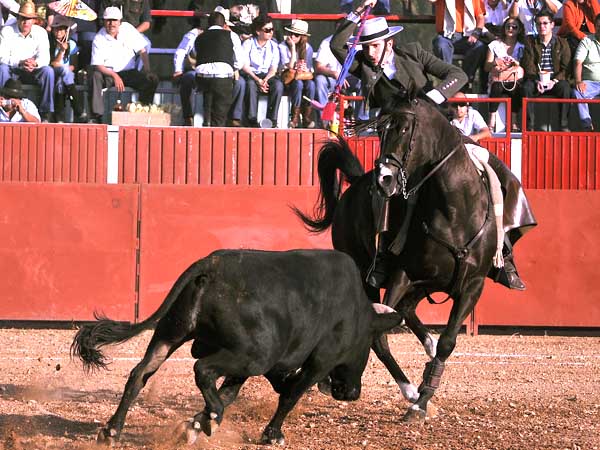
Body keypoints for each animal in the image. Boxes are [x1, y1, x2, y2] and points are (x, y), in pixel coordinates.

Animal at [74, 250, 404, 446]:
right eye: (368, 347)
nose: (352, 393)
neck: (357, 311)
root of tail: (211, 265)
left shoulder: (254, 363)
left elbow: (233, 392)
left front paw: (193, 424)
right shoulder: (318, 361)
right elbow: (290, 395)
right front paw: (272, 435)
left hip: (171, 335)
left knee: (139, 374)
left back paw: (112, 430)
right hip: (253, 355)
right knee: (202, 369)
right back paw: (214, 418)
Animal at [296, 96, 536, 422]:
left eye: (404, 129)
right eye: (381, 129)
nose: (384, 179)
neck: (455, 209)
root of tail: (357, 183)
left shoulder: (472, 286)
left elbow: (448, 340)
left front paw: (424, 395)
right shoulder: (404, 275)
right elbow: (380, 334)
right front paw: (415, 397)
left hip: (428, 283)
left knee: (409, 311)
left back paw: (427, 351)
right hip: (371, 275)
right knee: (390, 313)